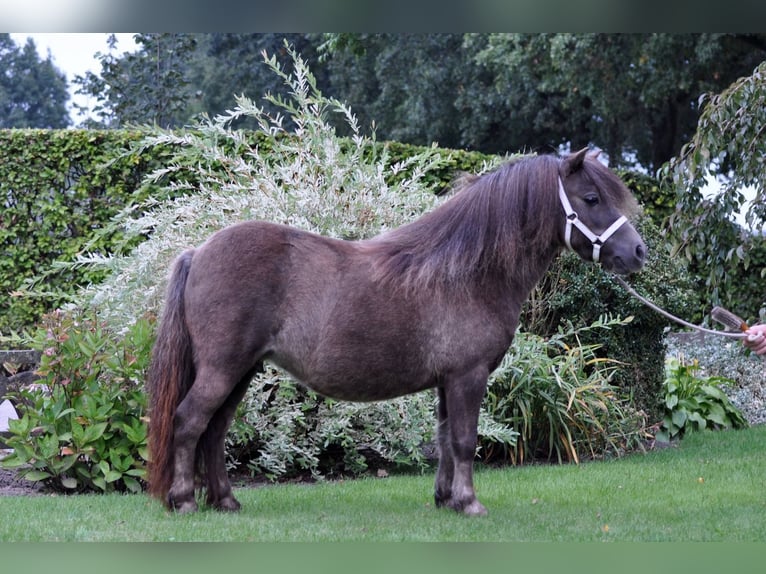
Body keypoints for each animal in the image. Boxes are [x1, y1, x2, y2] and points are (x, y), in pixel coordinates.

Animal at [146, 148, 648, 516]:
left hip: (241, 371)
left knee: (214, 431)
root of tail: (199, 252)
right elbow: (465, 440)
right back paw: (185, 501)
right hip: (223, 369)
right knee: (189, 422)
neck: (468, 273)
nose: (638, 252)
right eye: (591, 199)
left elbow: (445, 439)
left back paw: (226, 501)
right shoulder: (469, 376)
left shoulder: (448, 381)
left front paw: (446, 499)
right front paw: (470, 504)